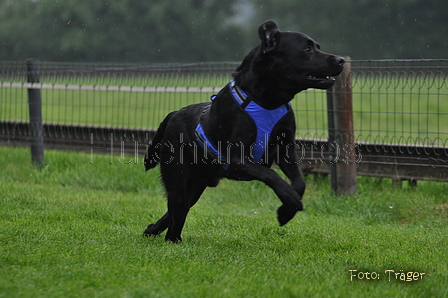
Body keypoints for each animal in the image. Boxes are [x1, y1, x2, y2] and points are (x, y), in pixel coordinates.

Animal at [144, 19, 344, 242]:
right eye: (307, 49)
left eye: (317, 46)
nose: (341, 60)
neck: (267, 101)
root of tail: (173, 113)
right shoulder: (236, 160)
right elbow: (271, 175)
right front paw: (289, 200)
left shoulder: (285, 149)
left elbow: (299, 182)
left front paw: (286, 211)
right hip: (178, 177)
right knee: (177, 210)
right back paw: (173, 240)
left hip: (196, 185)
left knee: (177, 210)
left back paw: (151, 229)